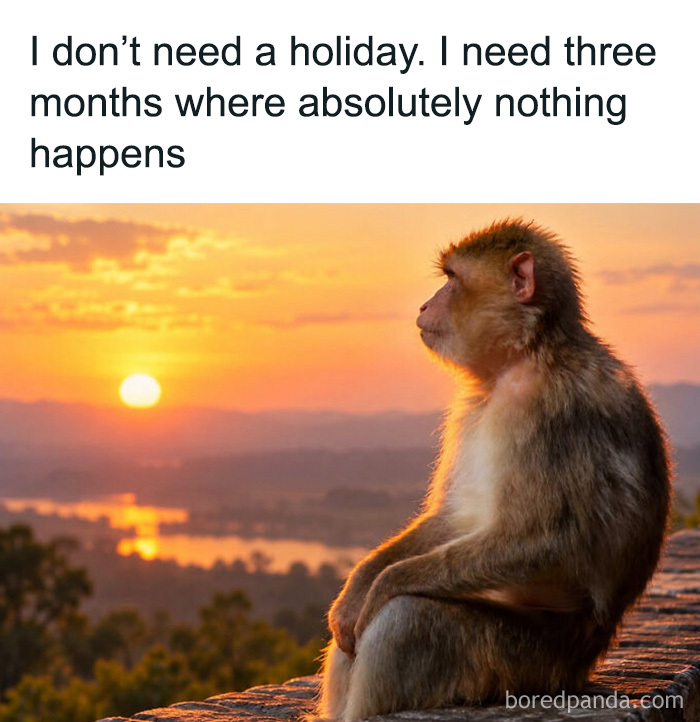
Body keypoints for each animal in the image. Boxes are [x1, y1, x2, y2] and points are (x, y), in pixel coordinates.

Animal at [315, 219, 670, 722]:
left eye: (452, 278)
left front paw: (385, 583)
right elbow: (456, 517)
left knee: (408, 621)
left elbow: (542, 539)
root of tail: (583, 664)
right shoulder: (473, 409)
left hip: (533, 662)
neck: (526, 356)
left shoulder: (550, 409)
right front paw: (358, 587)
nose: (424, 304)